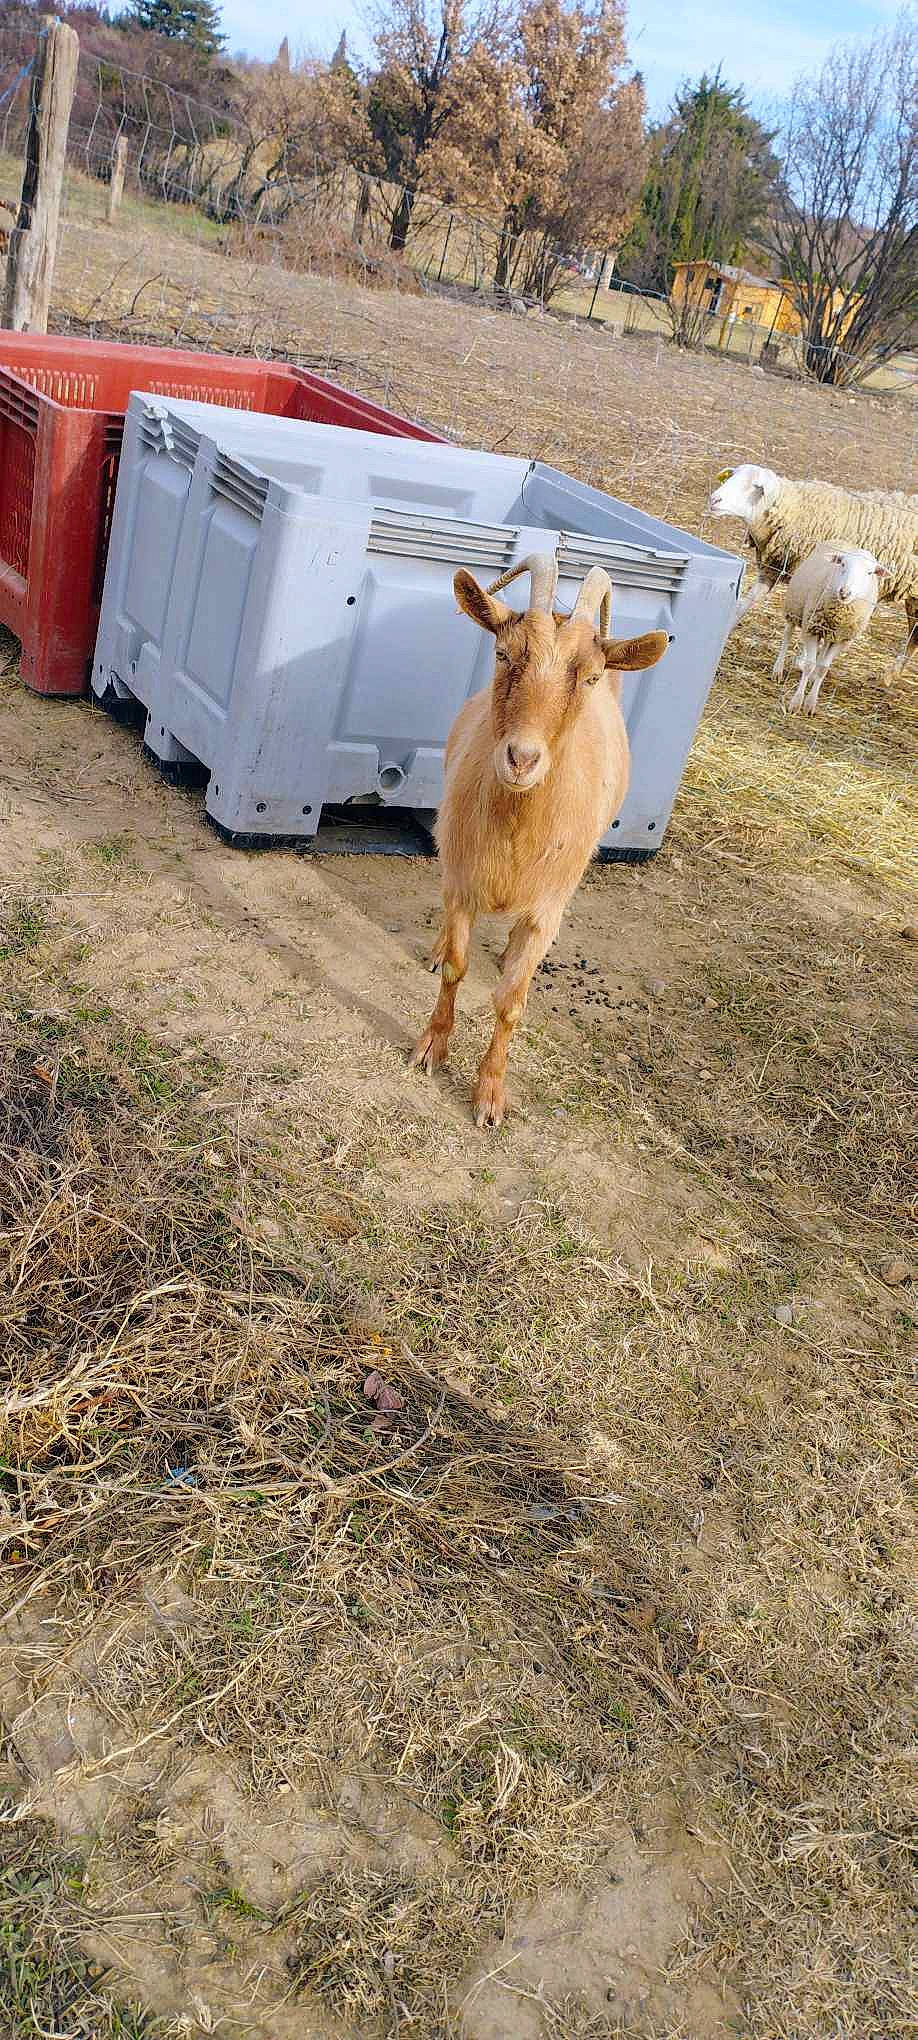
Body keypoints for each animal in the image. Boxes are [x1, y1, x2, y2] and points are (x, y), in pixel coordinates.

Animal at [412, 553, 668, 1127]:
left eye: (590, 677)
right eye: (503, 653)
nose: (522, 759)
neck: (519, 828)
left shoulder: (548, 906)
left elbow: (511, 1001)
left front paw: (489, 1096)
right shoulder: (463, 879)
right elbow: (458, 967)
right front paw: (432, 1047)